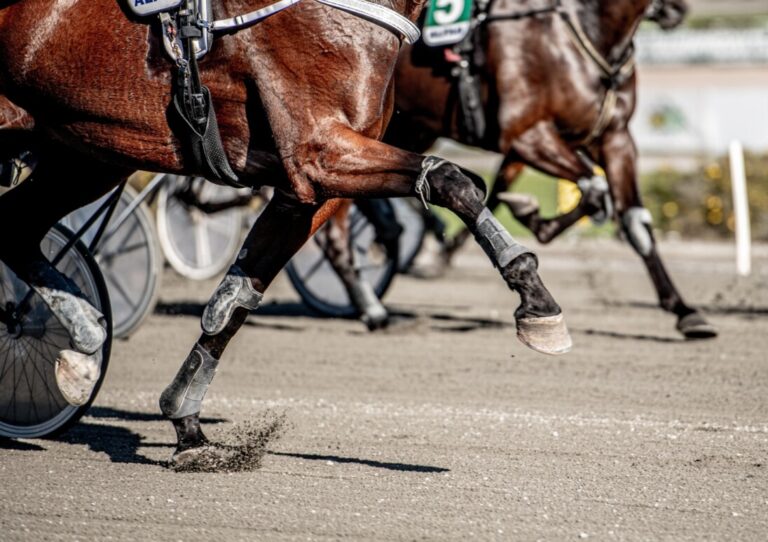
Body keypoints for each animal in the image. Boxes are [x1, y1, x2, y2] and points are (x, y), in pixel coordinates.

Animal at [0, 0, 571, 461]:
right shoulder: (322, 151)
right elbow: (456, 180)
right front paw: (536, 299)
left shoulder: (307, 190)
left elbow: (234, 300)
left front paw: (187, 426)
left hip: (87, 153)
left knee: (16, 228)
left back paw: (84, 340)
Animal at [324, 0, 715, 340]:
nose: (677, 10)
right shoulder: (527, 136)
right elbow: (593, 190)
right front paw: (531, 218)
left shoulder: (615, 139)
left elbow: (634, 223)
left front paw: (684, 311)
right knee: (335, 229)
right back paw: (371, 306)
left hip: (411, 130)